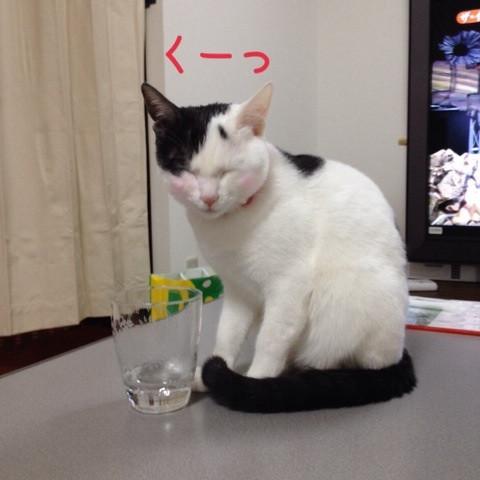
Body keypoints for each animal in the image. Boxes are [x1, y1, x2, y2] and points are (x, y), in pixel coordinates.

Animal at [142, 82, 416, 413]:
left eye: (227, 172)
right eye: (184, 169)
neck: (229, 226)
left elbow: (271, 338)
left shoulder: (289, 286)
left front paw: (255, 382)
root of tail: (397, 353)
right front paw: (208, 371)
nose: (208, 198)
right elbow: (227, 334)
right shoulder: (237, 289)